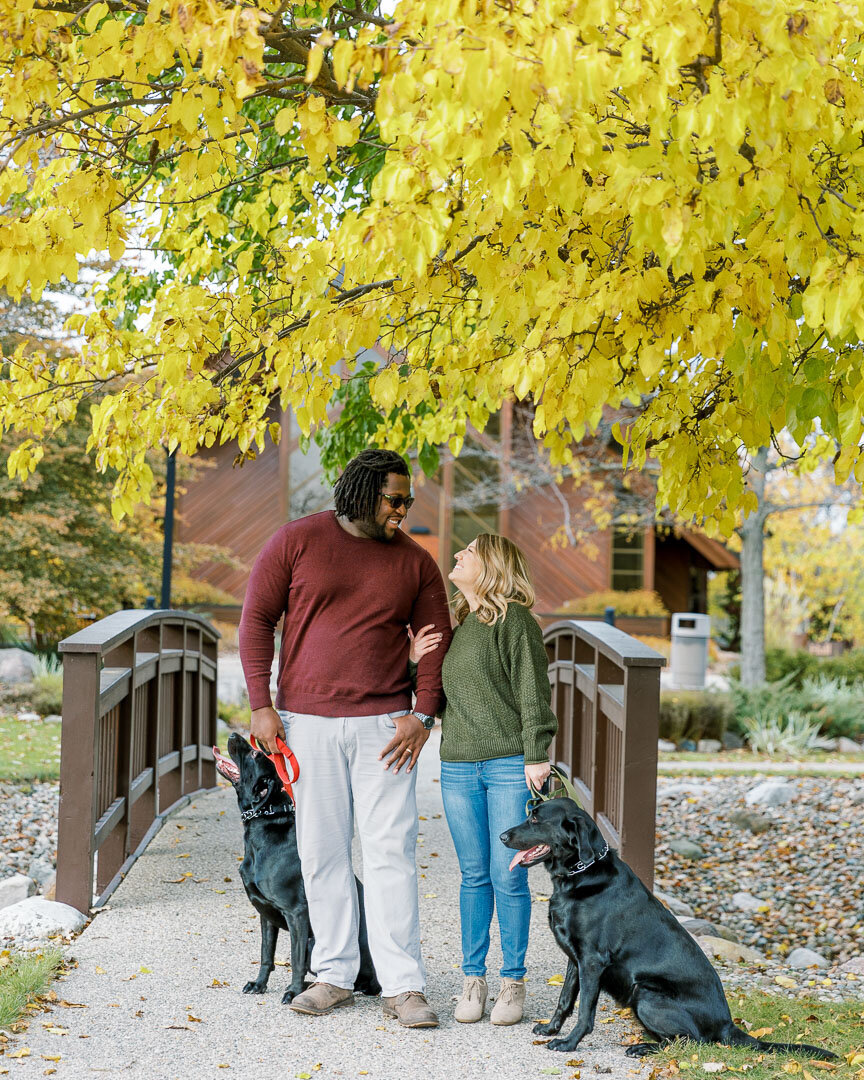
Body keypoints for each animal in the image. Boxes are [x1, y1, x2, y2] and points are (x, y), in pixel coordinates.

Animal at [213, 734, 380, 1002]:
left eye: (255, 755)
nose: (233, 735)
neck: (265, 824)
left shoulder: (297, 913)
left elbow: (295, 959)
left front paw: (293, 992)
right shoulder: (265, 913)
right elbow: (266, 954)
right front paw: (259, 984)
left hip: (316, 943)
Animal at [503, 799, 833, 1058]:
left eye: (536, 819)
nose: (502, 835)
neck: (581, 875)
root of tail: (727, 1025)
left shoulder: (592, 961)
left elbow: (585, 1010)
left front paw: (569, 1043)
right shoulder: (576, 959)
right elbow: (565, 999)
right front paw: (550, 1028)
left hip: (646, 992)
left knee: (692, 1041)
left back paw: (643, 1047)